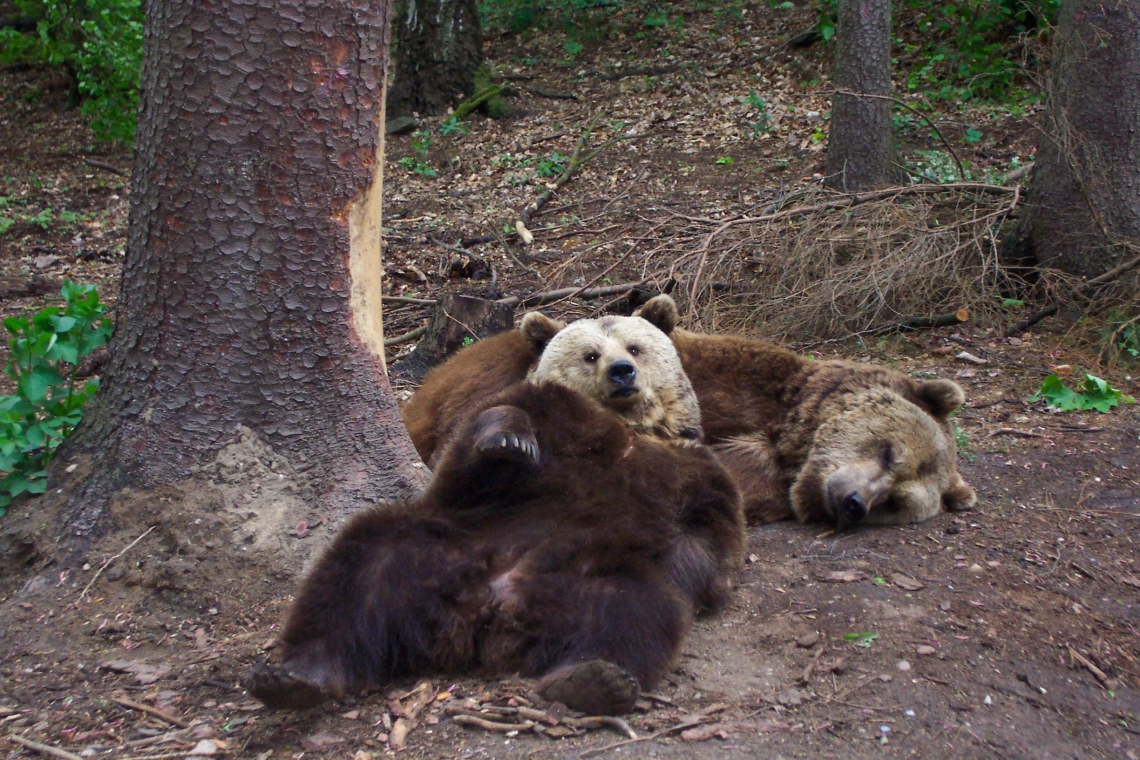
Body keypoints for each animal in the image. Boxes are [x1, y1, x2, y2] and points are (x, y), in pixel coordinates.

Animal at [250, 314, 743, 715]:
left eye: (635, 346)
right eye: (590, 354)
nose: (622, 371)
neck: (625, 427)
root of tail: (484, 614)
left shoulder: (690, 469)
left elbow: (704, 536)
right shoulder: (542, 420)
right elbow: (474, 451)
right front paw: (508, 439)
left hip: (586, 576)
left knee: (634, 607)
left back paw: (593, 677)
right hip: (442, 548)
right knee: (361, 564)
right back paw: (296, 675)